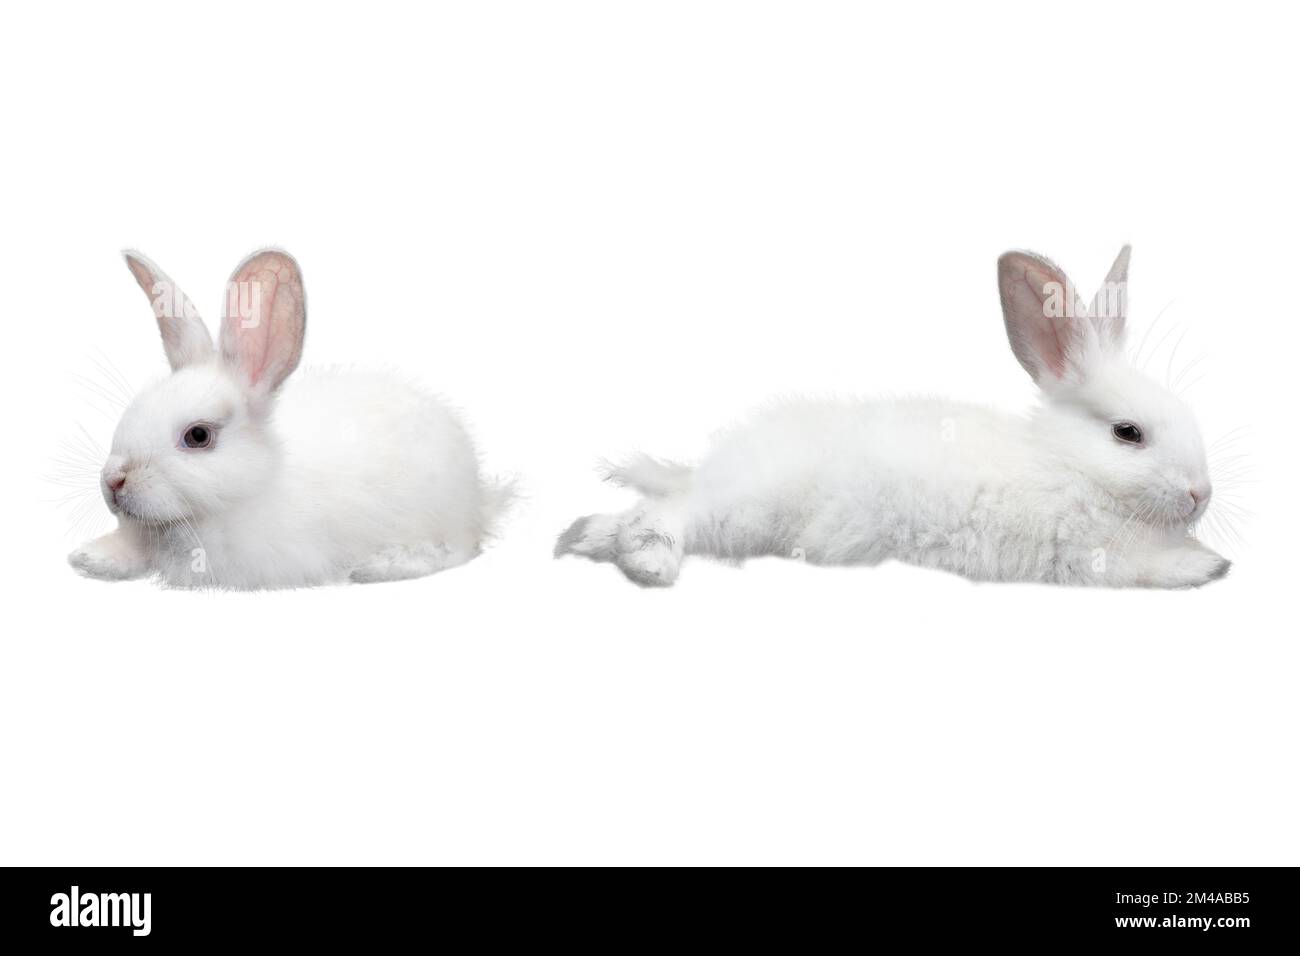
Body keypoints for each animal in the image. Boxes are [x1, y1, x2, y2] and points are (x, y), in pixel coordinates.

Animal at [68, 249, 510, 589]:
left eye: (198, 436)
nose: (114, 480)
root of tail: (477, 494)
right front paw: (88, 558)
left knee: (457, 549)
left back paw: (380, 566)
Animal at [556, 245, 1231, 589]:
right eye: (1128, 433)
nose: (1201, 493)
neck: (1072, 467)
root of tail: (716, 466)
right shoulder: (1086, 553)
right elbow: (1147, 567)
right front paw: (1206, 564)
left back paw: (581, 536)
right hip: (747, 509)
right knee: (662, 516)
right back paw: (649, 563)